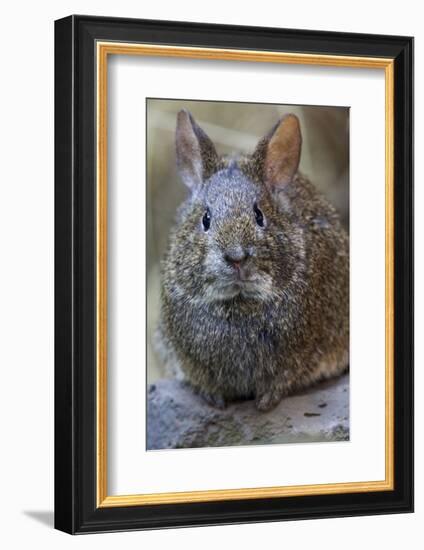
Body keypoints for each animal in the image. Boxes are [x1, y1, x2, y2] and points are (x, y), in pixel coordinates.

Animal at [156, 110, 348, 412]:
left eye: (259, 216)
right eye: (206, 219)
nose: (236, 258)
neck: (239, 302)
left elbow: (283, 380)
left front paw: (266, 402)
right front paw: (214, 399)